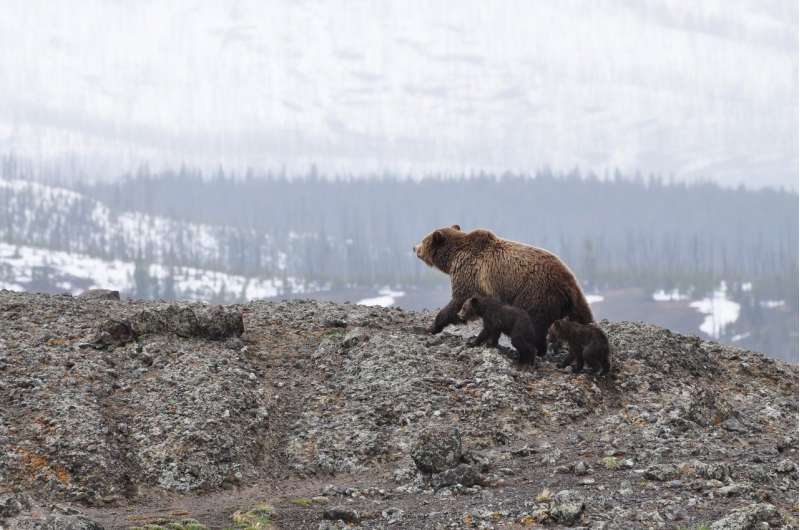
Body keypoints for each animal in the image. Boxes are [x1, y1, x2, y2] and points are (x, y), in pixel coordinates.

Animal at [413, 225, 593, 357]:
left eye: (424, 240)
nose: (414, 247)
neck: (452, 258)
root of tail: (569, 283)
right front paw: (491, 341)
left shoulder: (470, 274)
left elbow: (458, 302)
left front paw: (432, 326)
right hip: (570, 301)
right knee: (582, 317)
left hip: (536, 293)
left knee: (534, 323)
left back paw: (535, 350)